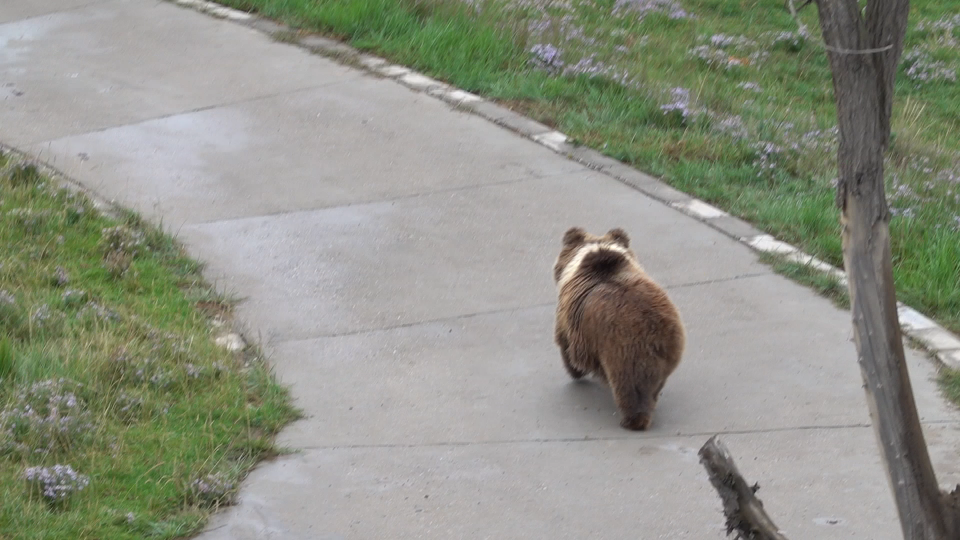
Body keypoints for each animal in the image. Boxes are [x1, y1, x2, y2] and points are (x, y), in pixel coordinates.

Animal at [552, 227, 688, 430]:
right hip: (670, 348)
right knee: (656, 382)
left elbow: (564, 342)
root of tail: (653, 330)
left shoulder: (569, 320)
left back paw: (632, 419)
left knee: (627, 386)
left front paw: (575, 369)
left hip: (620, 349)